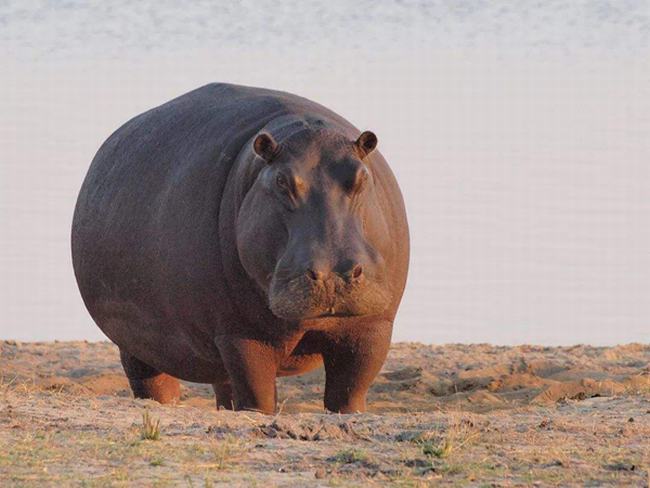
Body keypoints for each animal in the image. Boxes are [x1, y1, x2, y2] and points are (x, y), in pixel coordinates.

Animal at [73, 83, 408, 412]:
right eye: (281, 181)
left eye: (362, 177)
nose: (332, 276)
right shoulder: (241, 334)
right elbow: (257, 396)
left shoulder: (372, 327)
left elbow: (350, 393)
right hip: (137, 345)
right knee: (154, 382)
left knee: (224, 387)